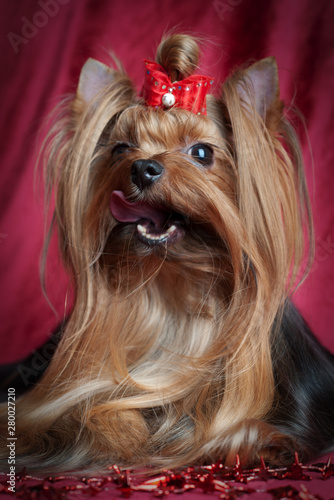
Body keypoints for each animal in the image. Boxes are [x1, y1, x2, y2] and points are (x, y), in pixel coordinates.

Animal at [0, 34, 334, 472]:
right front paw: (120, 433)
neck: (173, 282)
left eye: (202, 153)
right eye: (120, 148)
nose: (142, 168)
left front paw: (252, 441)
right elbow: (85, 412)